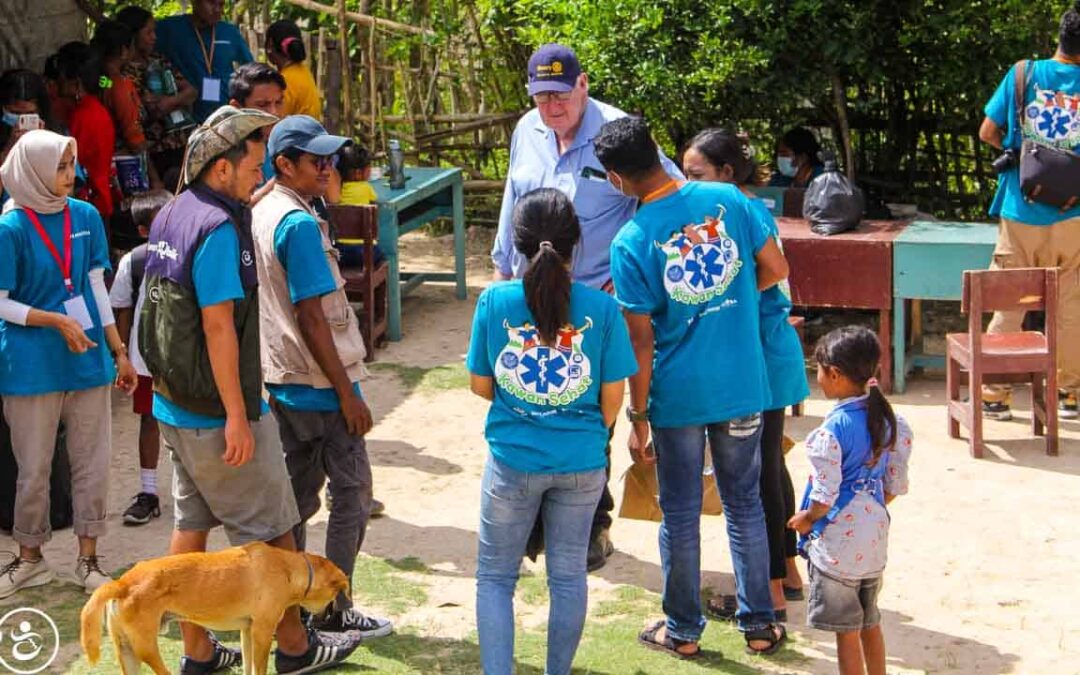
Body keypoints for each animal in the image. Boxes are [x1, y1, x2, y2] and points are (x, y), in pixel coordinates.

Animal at [80, 542, 349, 673]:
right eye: (335, 594)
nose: (326, 617)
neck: (288, 568)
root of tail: (122, 583)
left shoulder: (247, 631)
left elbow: (249, 666)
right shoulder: (263, 631)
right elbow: (260, 667)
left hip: (126, 650)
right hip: (146, 648)